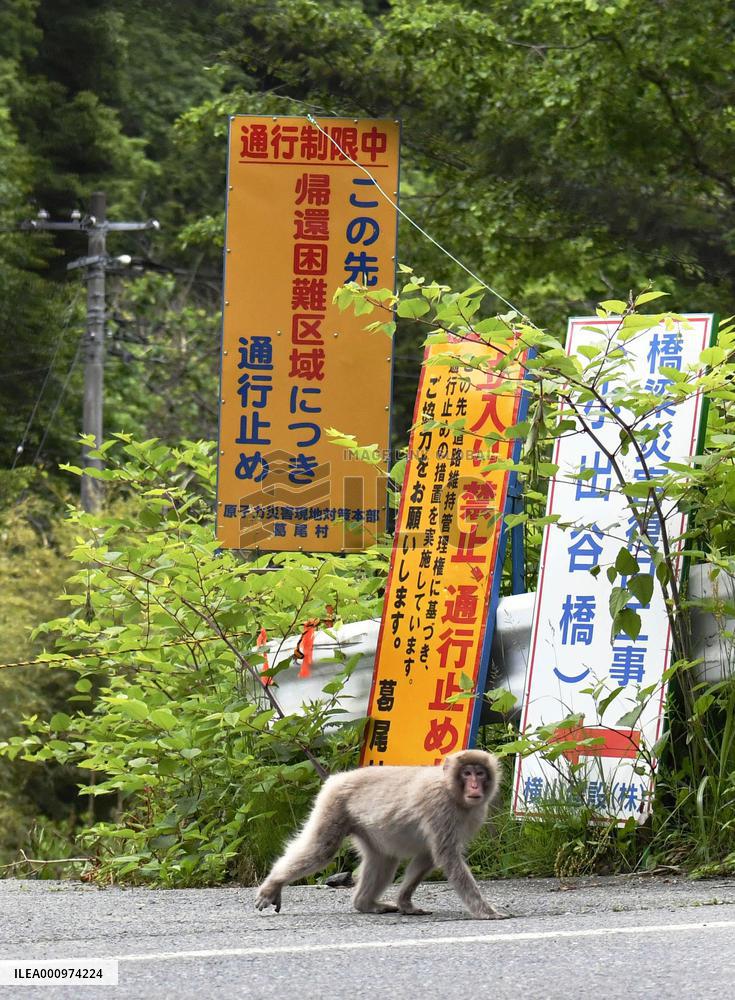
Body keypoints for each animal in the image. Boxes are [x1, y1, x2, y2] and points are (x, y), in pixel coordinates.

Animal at [255, 749, 510, 920]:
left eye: (480, 773)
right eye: (467, 773)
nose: (475, 786)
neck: (450, 790)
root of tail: (337, 777)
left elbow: (428, 856)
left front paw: (405, 903)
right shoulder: (439, 808)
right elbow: (447, 857)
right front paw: (485, 911)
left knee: (383, 859)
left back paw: (365, 904)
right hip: (332, 805)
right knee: (320, 851)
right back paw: (273, 884)